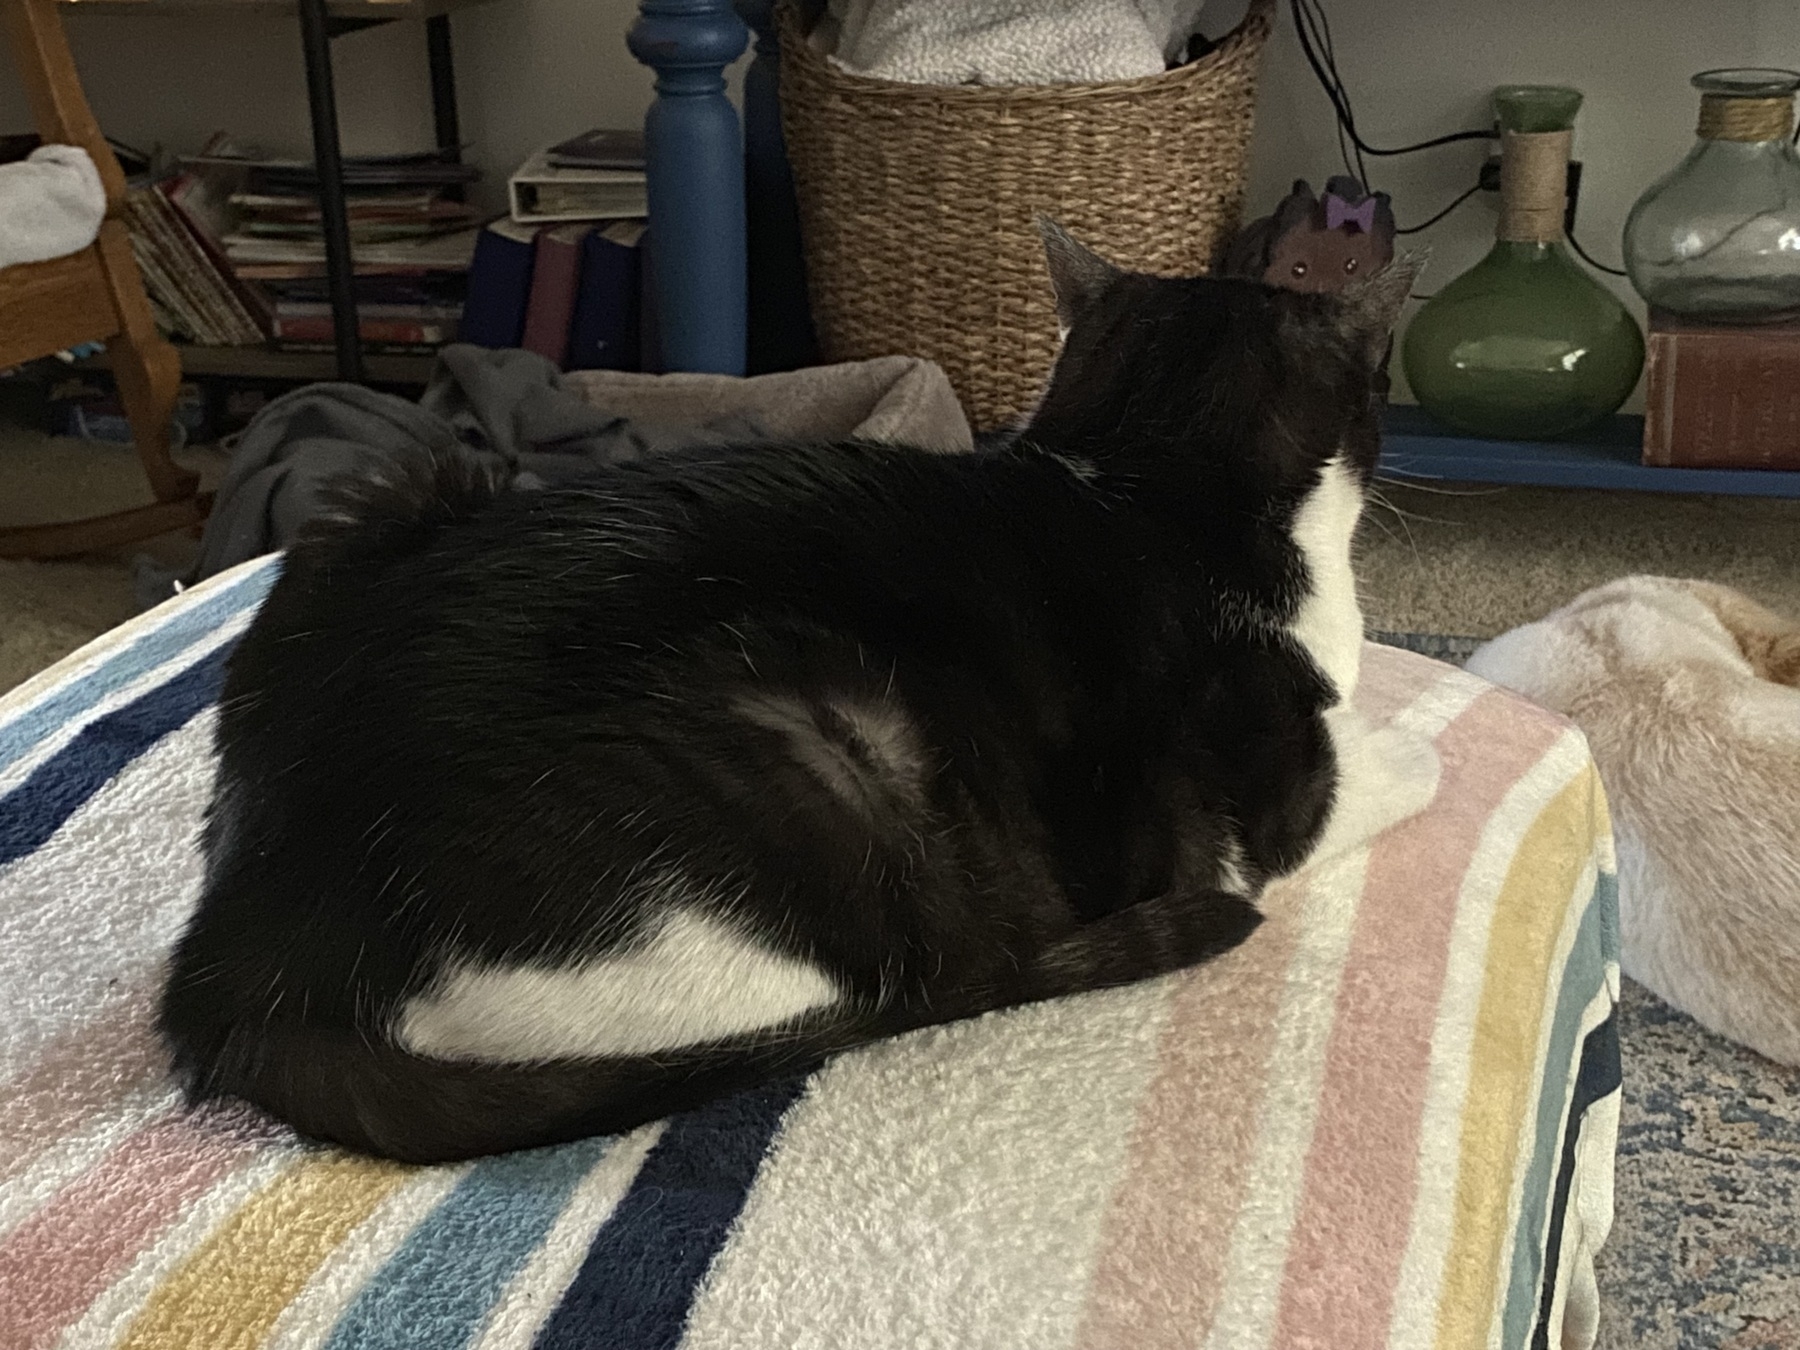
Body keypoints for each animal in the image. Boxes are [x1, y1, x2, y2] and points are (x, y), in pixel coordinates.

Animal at [158, 225, 1418, 1166]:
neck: (1150, 478)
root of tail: (241, 948)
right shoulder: (1250, 816)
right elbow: (1386, 767)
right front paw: (1413, 742)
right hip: (815, 773)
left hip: (394, 491)